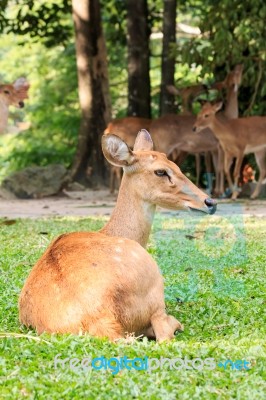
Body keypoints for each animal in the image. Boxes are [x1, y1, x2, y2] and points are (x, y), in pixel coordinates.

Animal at [19, 130, 217, 342]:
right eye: (161, 171)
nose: (210, 202)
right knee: (163, 330)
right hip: (154, 284)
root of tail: (102, 321)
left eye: (177, 166)